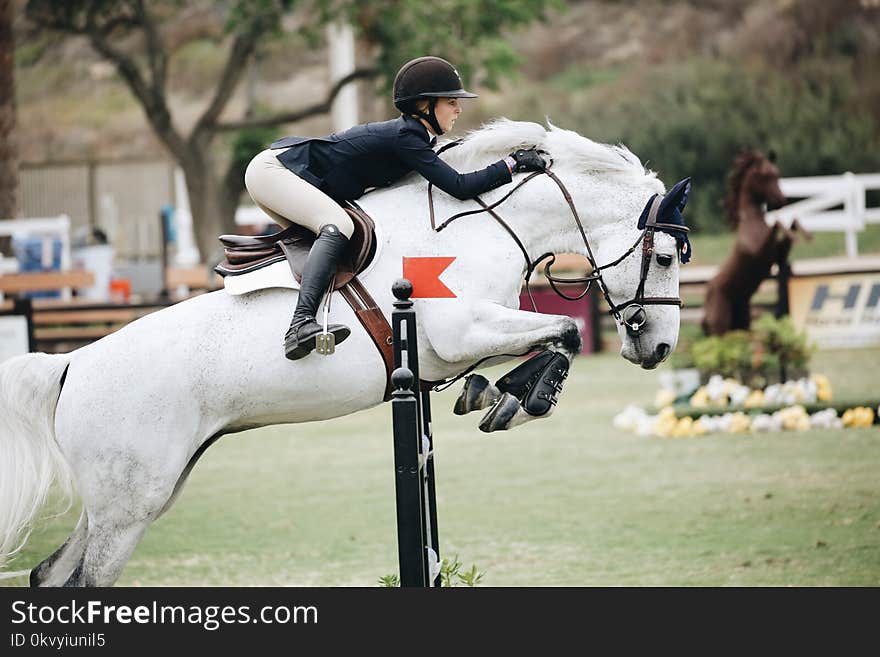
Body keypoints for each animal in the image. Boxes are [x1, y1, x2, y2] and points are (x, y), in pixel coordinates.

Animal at [0, 118, 688, 584]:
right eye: (663, 256)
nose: (658, 347)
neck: (485, 225)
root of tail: (71, 365)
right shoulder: (458, 331)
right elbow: (566, 331)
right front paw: (519, 397)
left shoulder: (463, 341)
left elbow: (551, 336)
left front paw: (493, 394)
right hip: (128, 506)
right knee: (85, 582)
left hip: (135, 495)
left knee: (51, 576)